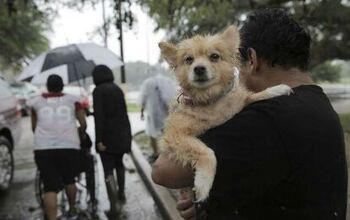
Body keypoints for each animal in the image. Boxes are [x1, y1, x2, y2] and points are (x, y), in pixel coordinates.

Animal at [159, 25, 292, 201]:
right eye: (189, 60)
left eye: (214, 57)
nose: (199, 68)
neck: (210, 100)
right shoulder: (175, 135)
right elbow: (207, 152)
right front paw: (203, 182)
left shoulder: (238, 104)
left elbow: (251, 96)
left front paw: (275, 90)